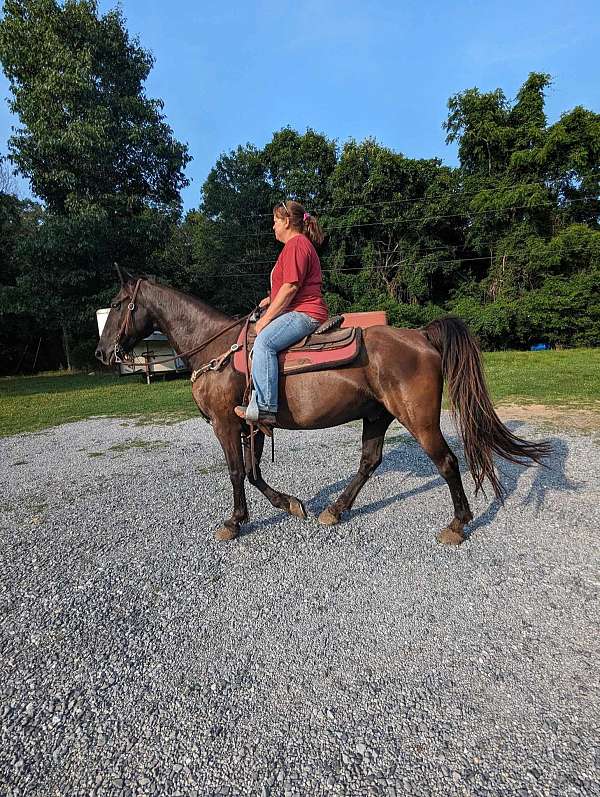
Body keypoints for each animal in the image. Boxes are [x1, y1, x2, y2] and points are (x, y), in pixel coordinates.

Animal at [96, 272, 552, 540]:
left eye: (118, 304)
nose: (101, 353)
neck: (216, 348)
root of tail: (421, 335)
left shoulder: (226, 424)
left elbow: (237, 472)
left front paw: (234, 521)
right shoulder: (252, 424)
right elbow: (254, 472)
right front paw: (290, 505)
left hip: (419, 420)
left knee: (447, 462)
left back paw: (457, 525)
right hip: (377, 415)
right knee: (370, 461)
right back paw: (335, 509)